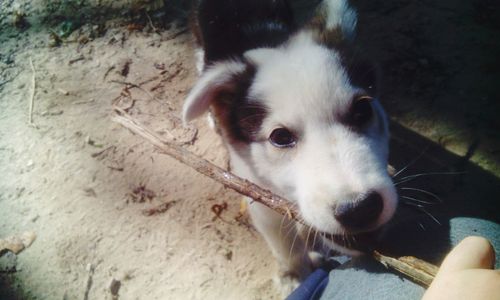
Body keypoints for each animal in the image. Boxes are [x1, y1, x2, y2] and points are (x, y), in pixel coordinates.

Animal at [182, 0, 396, 292]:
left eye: (362, 110)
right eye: (280, 137)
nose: (360, 210)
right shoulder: (260, 201)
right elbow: (284, 244)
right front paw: (294, 274)